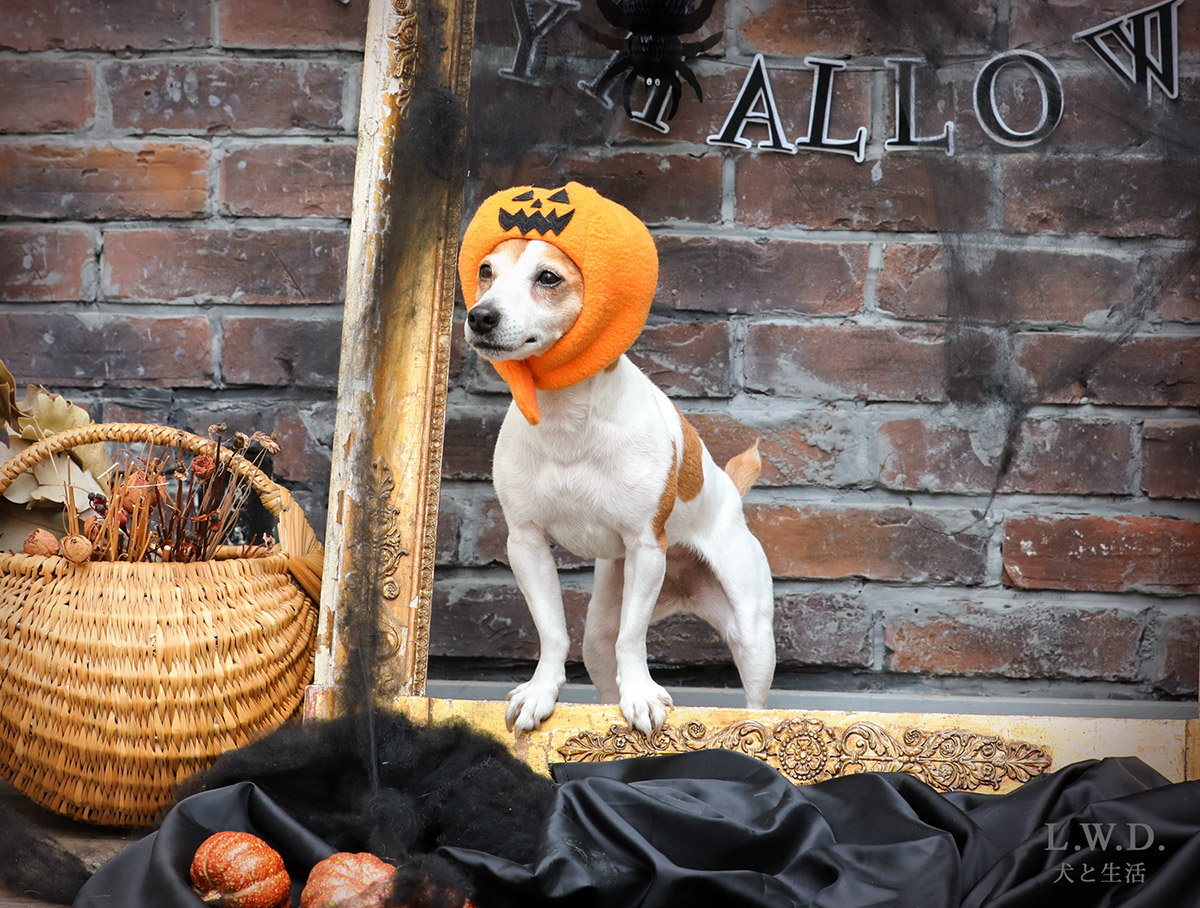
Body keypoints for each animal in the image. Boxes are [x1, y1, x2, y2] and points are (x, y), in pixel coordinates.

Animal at [458, 184, 777, 738]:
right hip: (599, 634)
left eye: (548, 278)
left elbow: (635, 639)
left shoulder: (647, 547)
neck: (567, 419)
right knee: (604, 671)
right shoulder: (526, 543)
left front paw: (644, 697)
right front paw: (540, 692)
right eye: (485, 271)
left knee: (753, 699)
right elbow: (552, 633)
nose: (481, 315)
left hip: (751, 635)